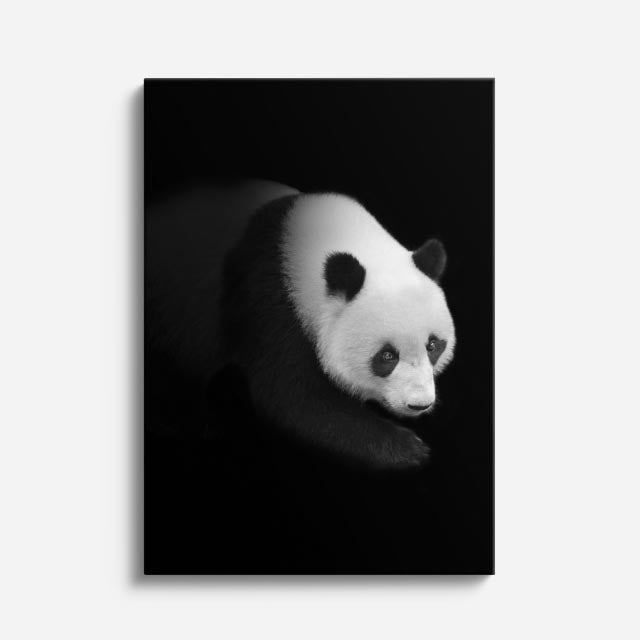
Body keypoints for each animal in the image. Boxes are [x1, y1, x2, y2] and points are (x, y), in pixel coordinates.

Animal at [216, 184, 457, 469]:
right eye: (387, 356)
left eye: (433, 346)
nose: (419, 404)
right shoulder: (269, 306)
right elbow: (295, 399)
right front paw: (409, 448)